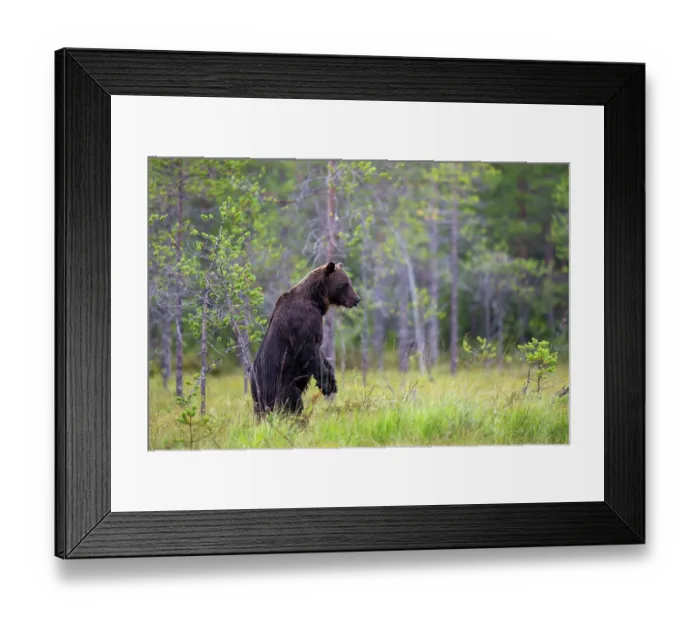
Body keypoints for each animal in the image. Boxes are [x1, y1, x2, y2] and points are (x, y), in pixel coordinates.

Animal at [251, 261, 360, 419]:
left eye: (349, 282)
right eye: (345, 284)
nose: (357, 299)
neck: (316, 301)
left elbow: (320, 352)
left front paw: (332, 379)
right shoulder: (302, 323)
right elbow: (308, 350)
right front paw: (327, 384)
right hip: (279, 382)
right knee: (290, 402)